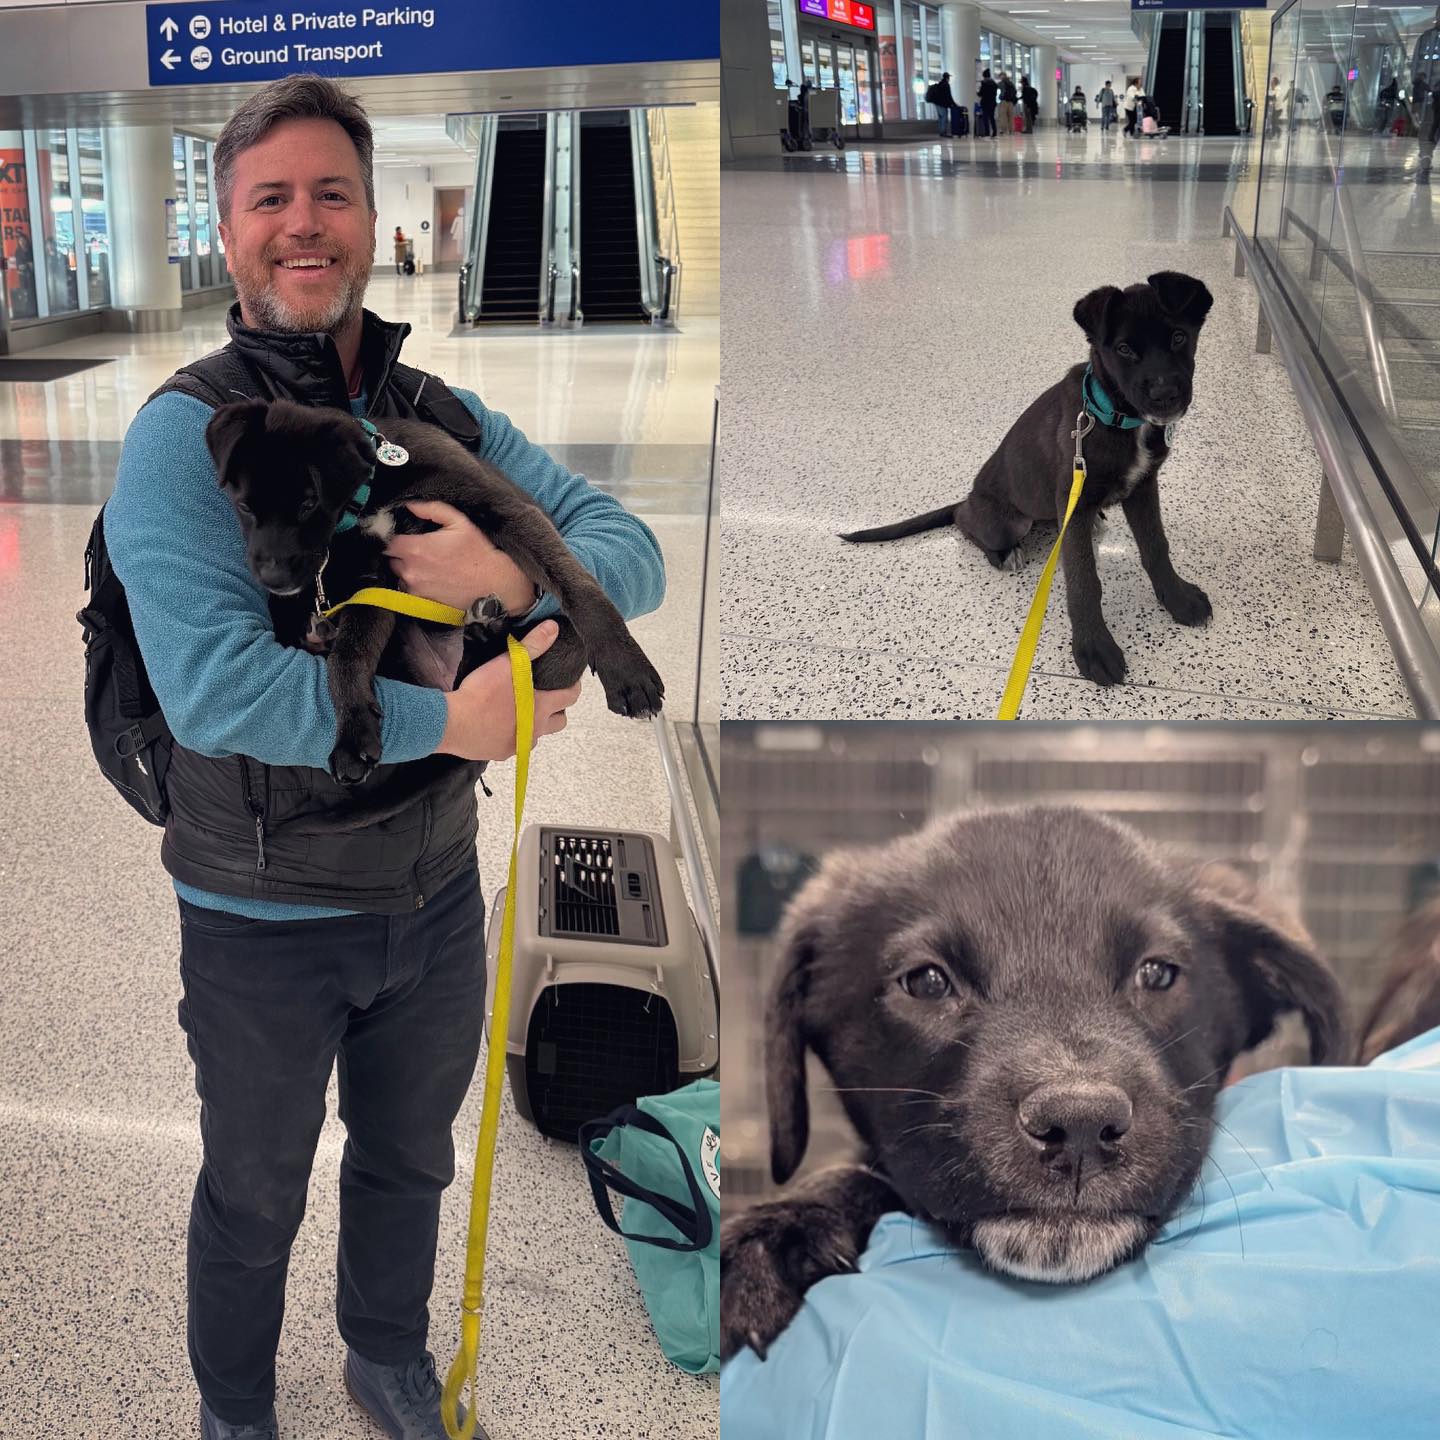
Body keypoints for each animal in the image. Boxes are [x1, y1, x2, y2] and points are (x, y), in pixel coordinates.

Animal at [207, 397, 662, 789]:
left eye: (308, 505)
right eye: (243, 506)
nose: (272, 581)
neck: (375, 490)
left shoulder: (508, 511)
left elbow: (578, 585)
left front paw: (627, 667)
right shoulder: (375, 583)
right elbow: (349, 657)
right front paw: (352, 733)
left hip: (558, 649)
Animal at [840, 276, 1215, 691]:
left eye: (1179, 337)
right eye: (1123, 349)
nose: (1166, 396)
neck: (1118, 417)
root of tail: (970, 496)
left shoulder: (1143, 487)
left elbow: (1156, 548)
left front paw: (1179, 600)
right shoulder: (1074, 500)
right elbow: (1084, 581)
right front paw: (1094, 648)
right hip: (1008, 520)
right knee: (965, 522)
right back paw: (1005, 552)